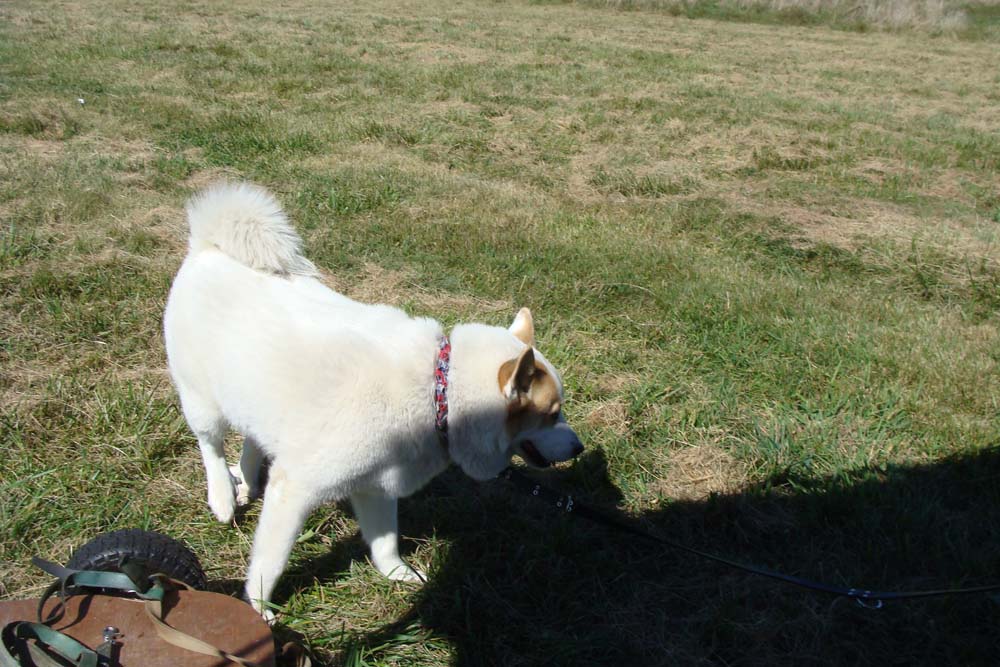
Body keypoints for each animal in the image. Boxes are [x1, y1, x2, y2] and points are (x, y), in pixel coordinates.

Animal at [162, 183, 584, 620]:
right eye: (552, 414)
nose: (579, 448)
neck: (436, 393)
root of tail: (207, 248)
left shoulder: (376, 487)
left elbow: (385, 543)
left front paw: (398, 574)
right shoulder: (296, 489)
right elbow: (271, 561)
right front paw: (258, 607)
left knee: (252, 439)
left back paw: (245, 479)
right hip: (203, 402)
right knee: (210, 446)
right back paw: (222, 496)